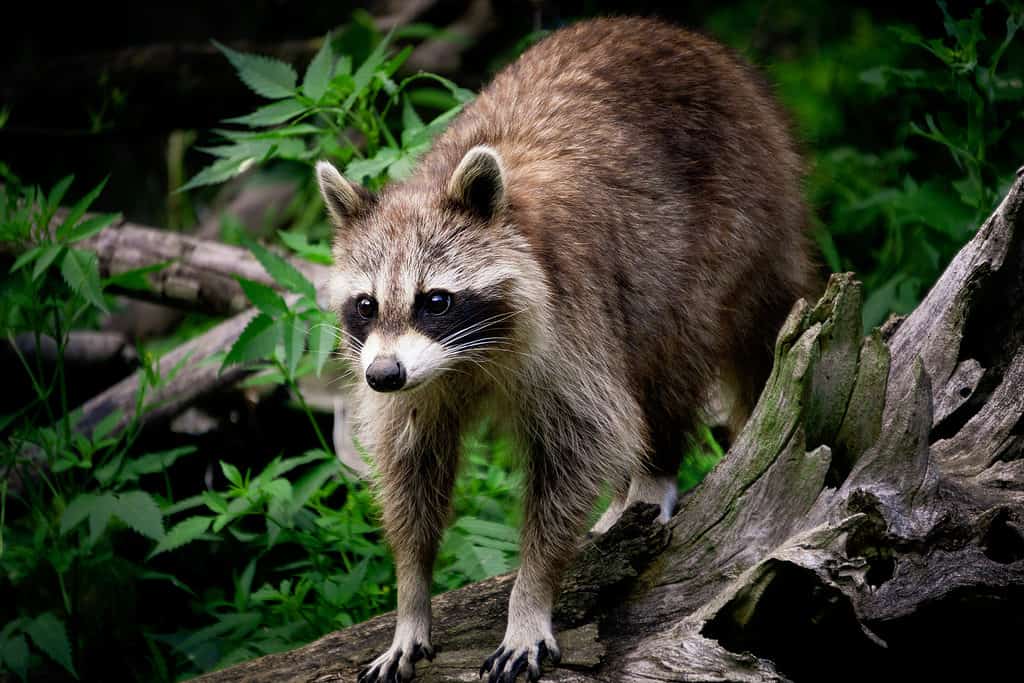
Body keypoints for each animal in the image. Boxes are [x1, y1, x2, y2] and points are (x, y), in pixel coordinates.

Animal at [317, 15, 815, 683]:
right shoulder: (413, 379)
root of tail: (675, 33)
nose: (383, 376)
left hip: (734, 209)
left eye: (435, 300)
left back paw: (652, 473)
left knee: (671, 351)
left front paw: (531, 595)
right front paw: (410, 597)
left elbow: (583, 444)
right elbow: (411, 468)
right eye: (366, 305)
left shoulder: (568, 322)